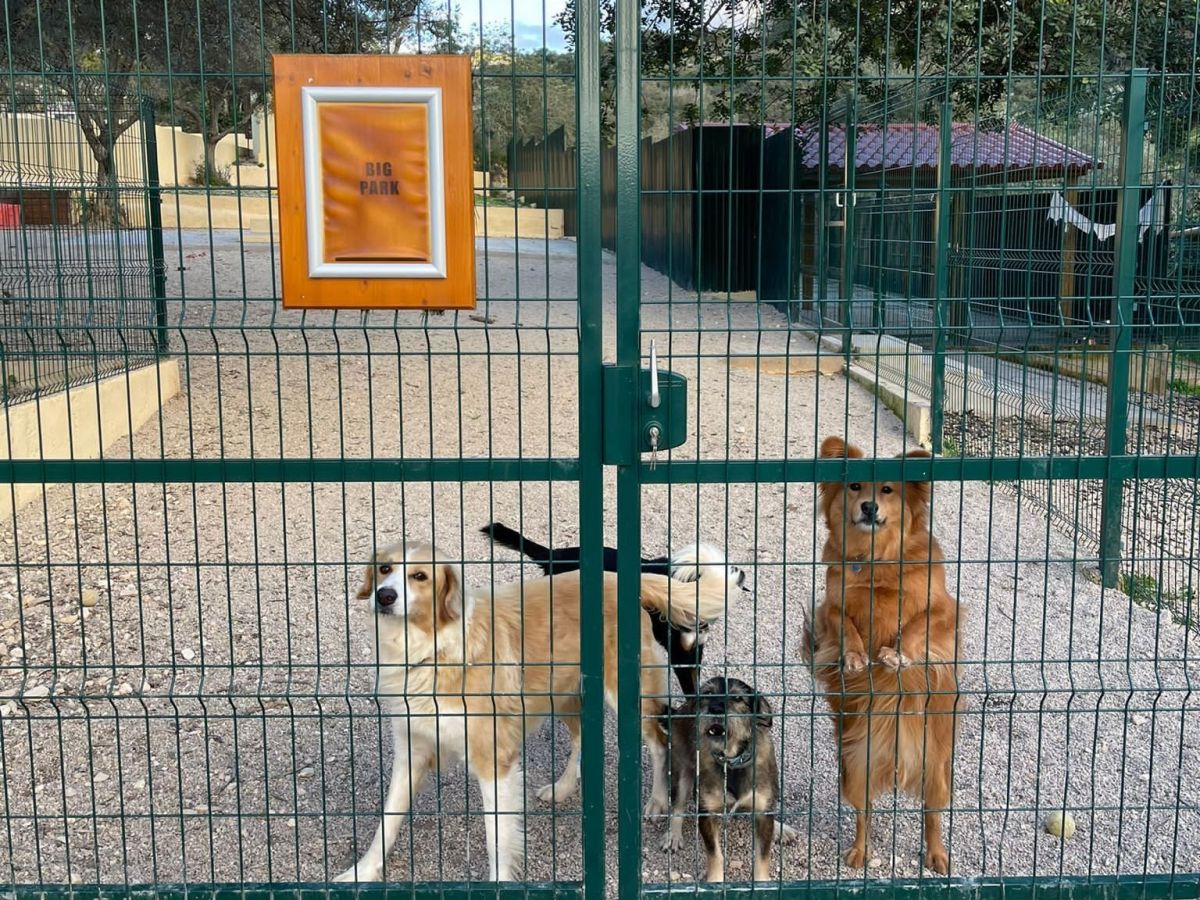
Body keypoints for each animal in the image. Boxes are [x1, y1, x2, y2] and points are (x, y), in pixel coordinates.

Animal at [335, 541, 737, 882]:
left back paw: (655, 800)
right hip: (563, 694)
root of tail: (617, 577)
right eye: (385, 568)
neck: (431, 649)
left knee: (657, 741)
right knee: (582, 739)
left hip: (627, 696)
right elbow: (386, 821)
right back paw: (563, 788)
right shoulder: (412, 750)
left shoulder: (494, 759)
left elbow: (497, 838)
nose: (385, 596)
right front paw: (362, 872)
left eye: (420, 576)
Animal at [658, 676, 796, 881]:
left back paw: (780, 828)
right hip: (681, 772)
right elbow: (715, 854)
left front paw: (762, 882)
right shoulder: (707, 813)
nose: (715, 709)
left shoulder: (762, 811)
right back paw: (673, 834)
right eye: (707, 693)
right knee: (677, 806)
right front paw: (715, 881)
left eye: (738, 697)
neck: (731, 761)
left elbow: (762, 855)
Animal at [801, 436, 960, 874]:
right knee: (864, 813)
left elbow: (918, 627)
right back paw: (860, 851)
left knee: (932, 815)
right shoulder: (832, 604)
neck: (876, 560)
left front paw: (898, 655)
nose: (869, 507)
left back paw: (937, 855)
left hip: (934, 767)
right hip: (856, 764)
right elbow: (846, 625)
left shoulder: (943, 609)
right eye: (855, 487)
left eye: (887, 489)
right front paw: (857, 656)